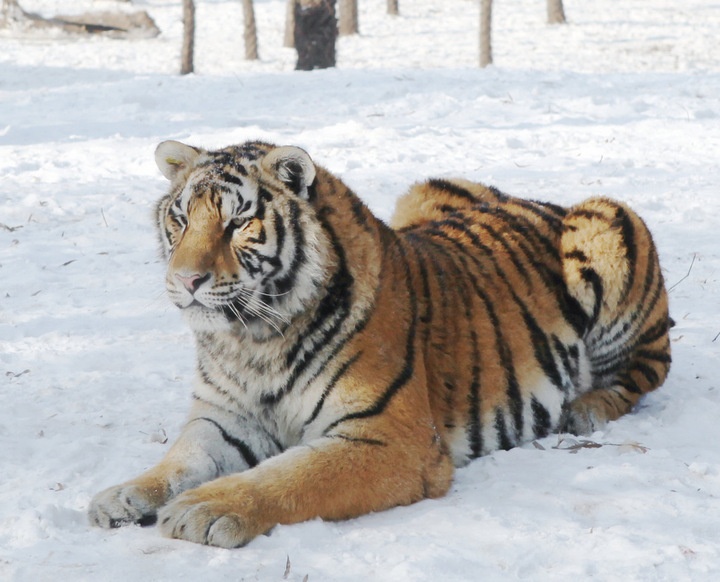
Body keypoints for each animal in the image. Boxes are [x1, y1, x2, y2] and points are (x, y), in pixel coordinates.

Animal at [87, 139, 672, 548]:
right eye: (180, 218)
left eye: (237, 223)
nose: (184, 281)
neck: (253, 340)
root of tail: (539, 200)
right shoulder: (224, 419)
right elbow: (176, 461)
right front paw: (122, 496)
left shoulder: (388, 438)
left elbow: (289, 476)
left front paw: (204, 509)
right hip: (426, 189)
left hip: (607, 221)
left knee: (646, 370)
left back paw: (587, 408)